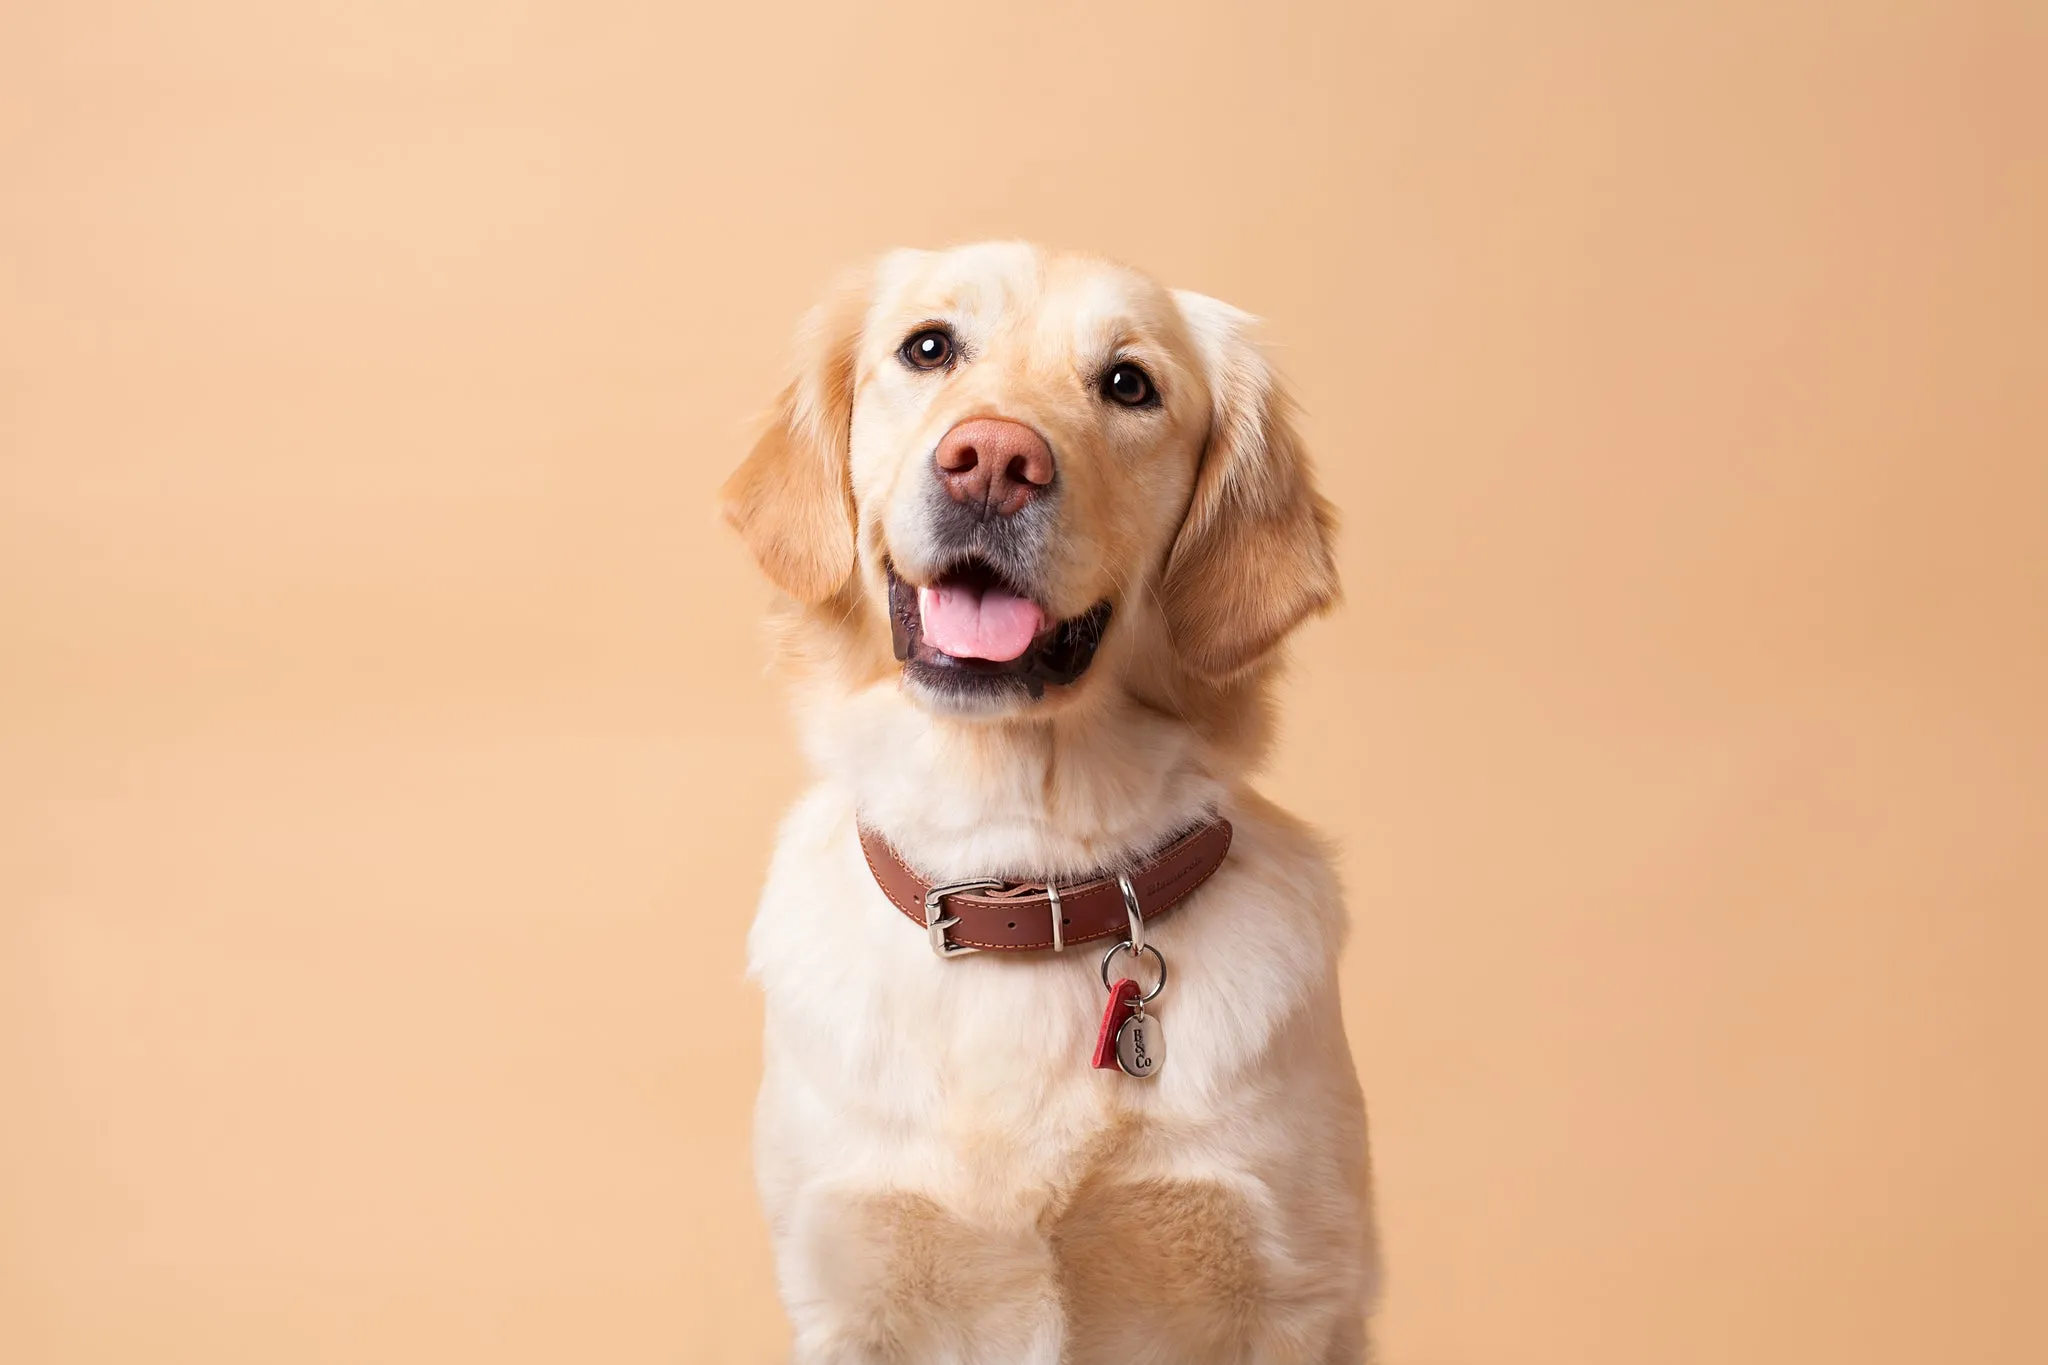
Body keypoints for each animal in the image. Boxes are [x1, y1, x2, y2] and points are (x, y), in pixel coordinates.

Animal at [720, 245, 1376, 1365]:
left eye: (1129, 384)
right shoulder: (849, 1291)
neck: (1014, 872)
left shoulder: (1289, 1292)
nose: (992, 460)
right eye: (927, 347)